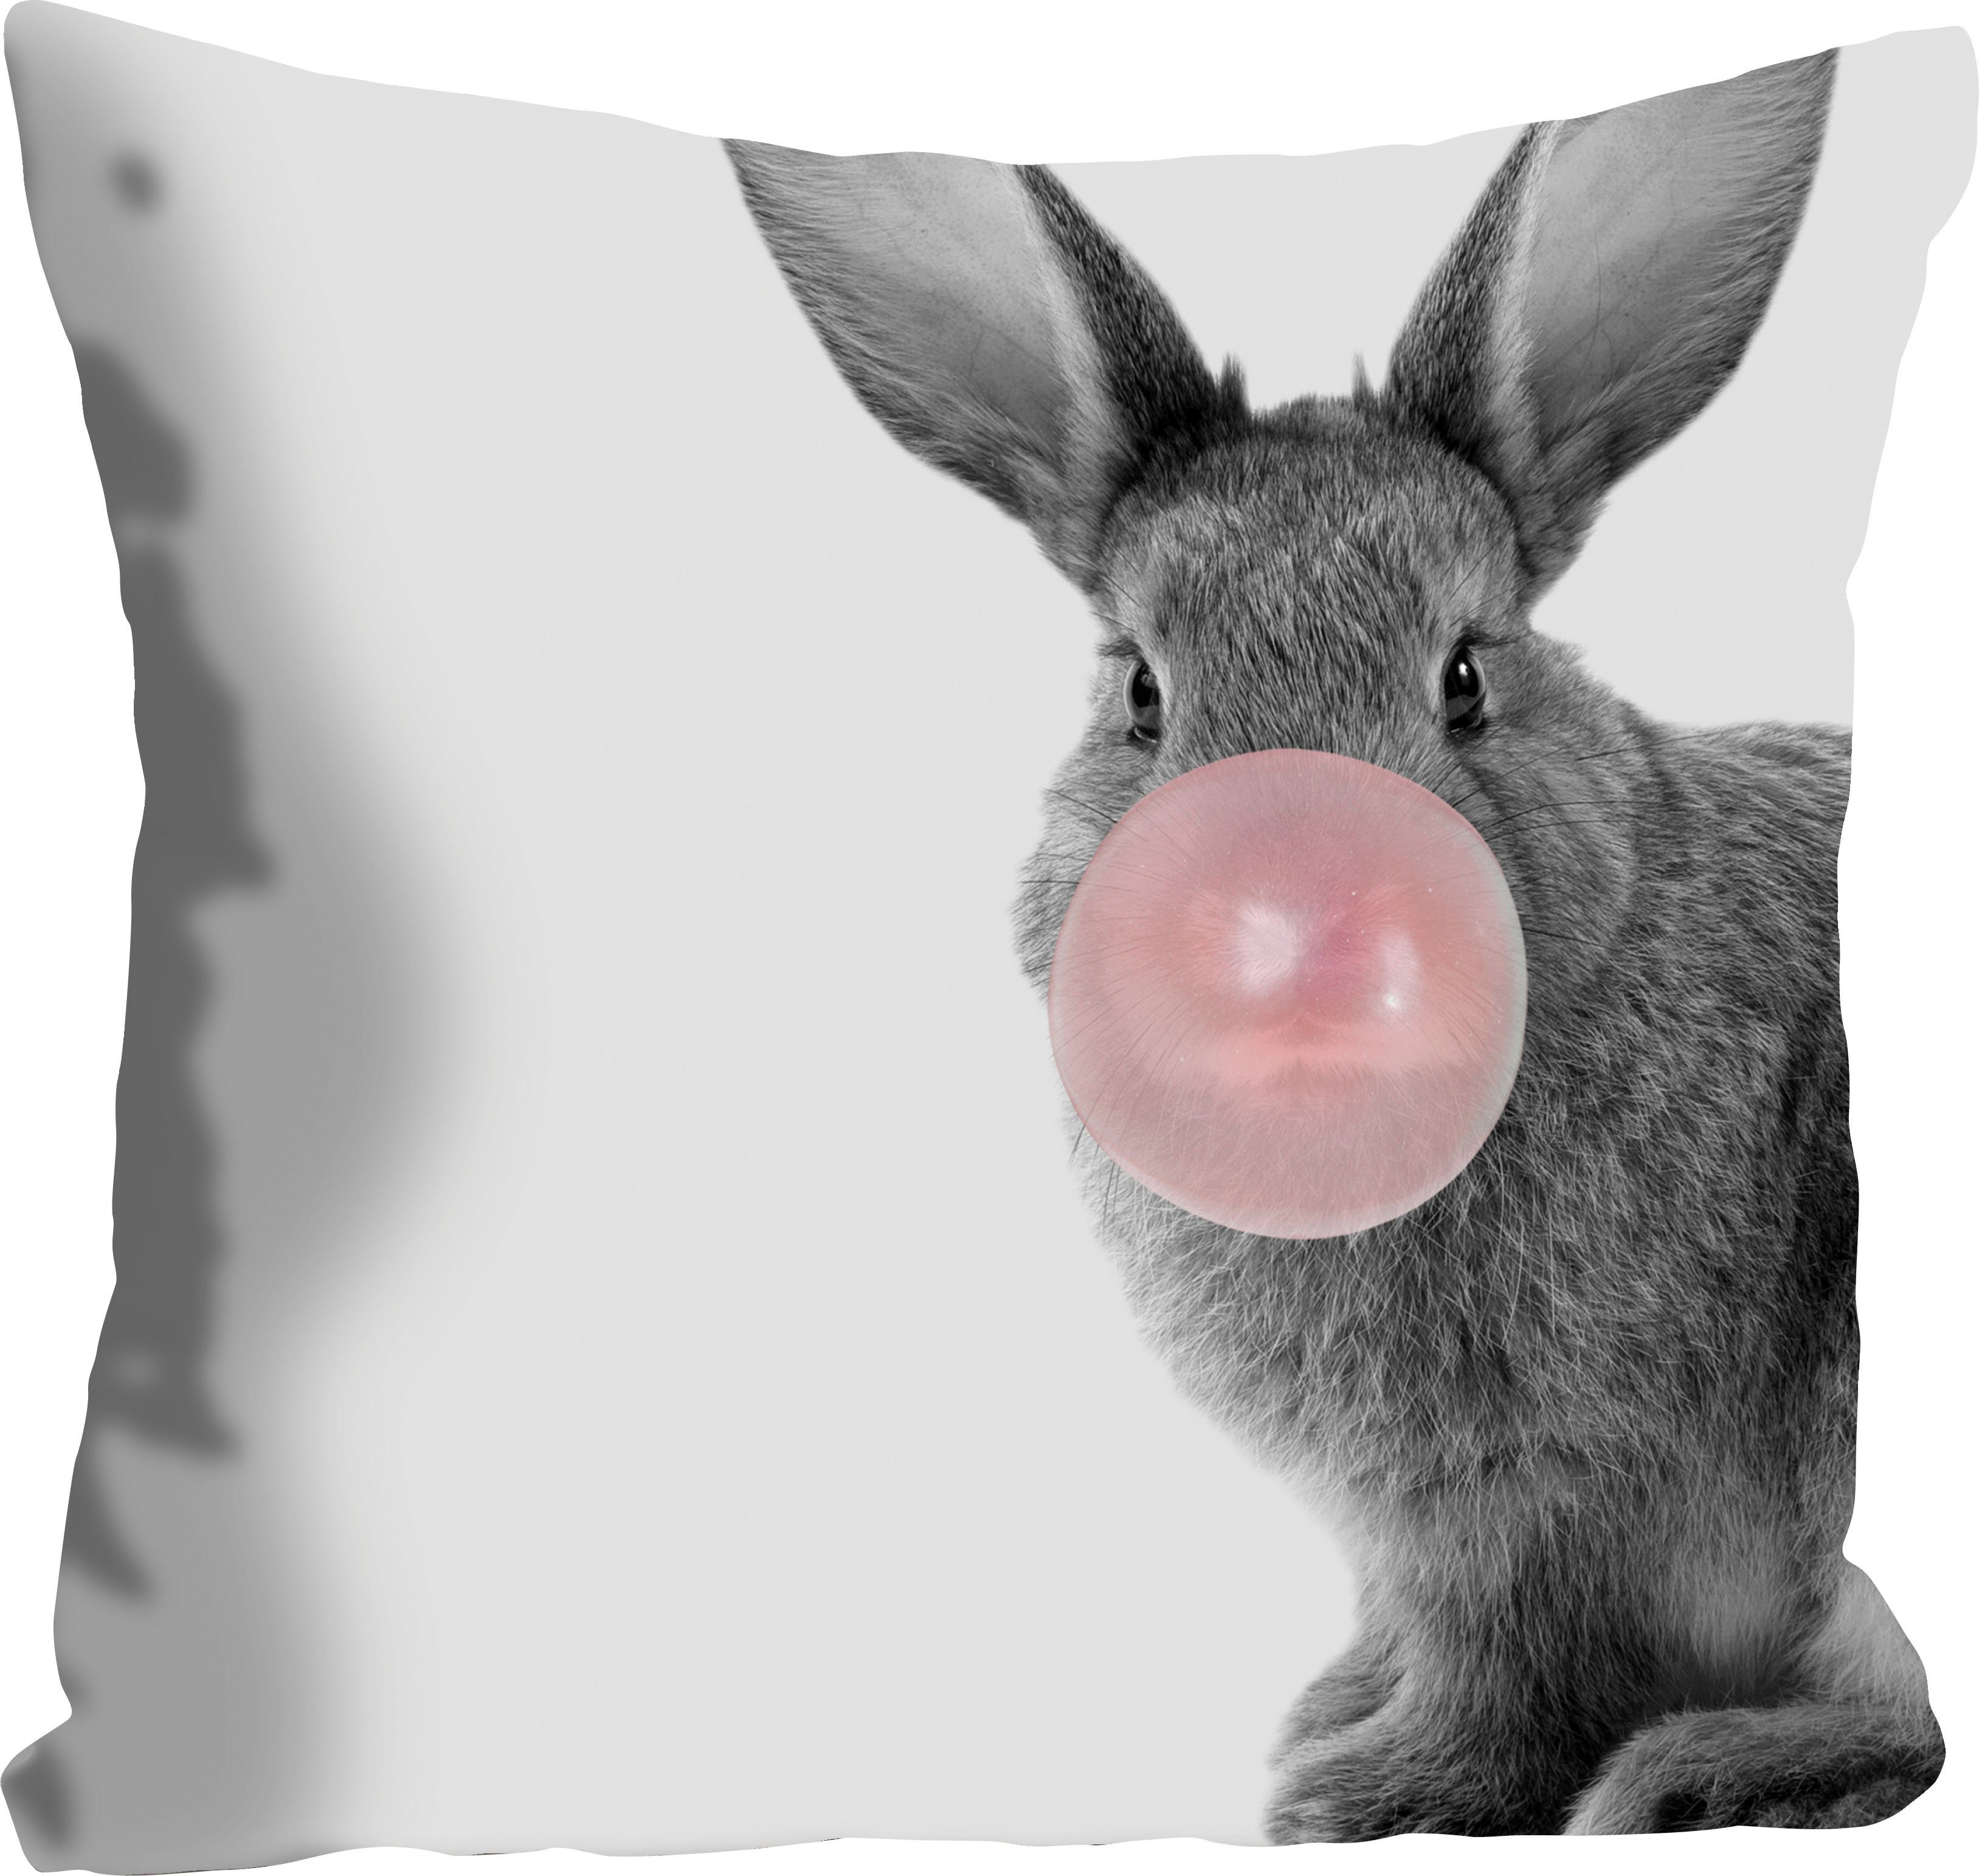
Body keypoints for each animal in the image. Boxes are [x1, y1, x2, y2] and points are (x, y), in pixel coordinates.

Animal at [725, 45, 1943, 1838]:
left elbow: (1508, 1668)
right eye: (1139, 689)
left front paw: (1368, 1790)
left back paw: (1701, 1768)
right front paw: (1331, 1721)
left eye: (1465, 674)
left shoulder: (1544, 1501)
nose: (1291, 919)